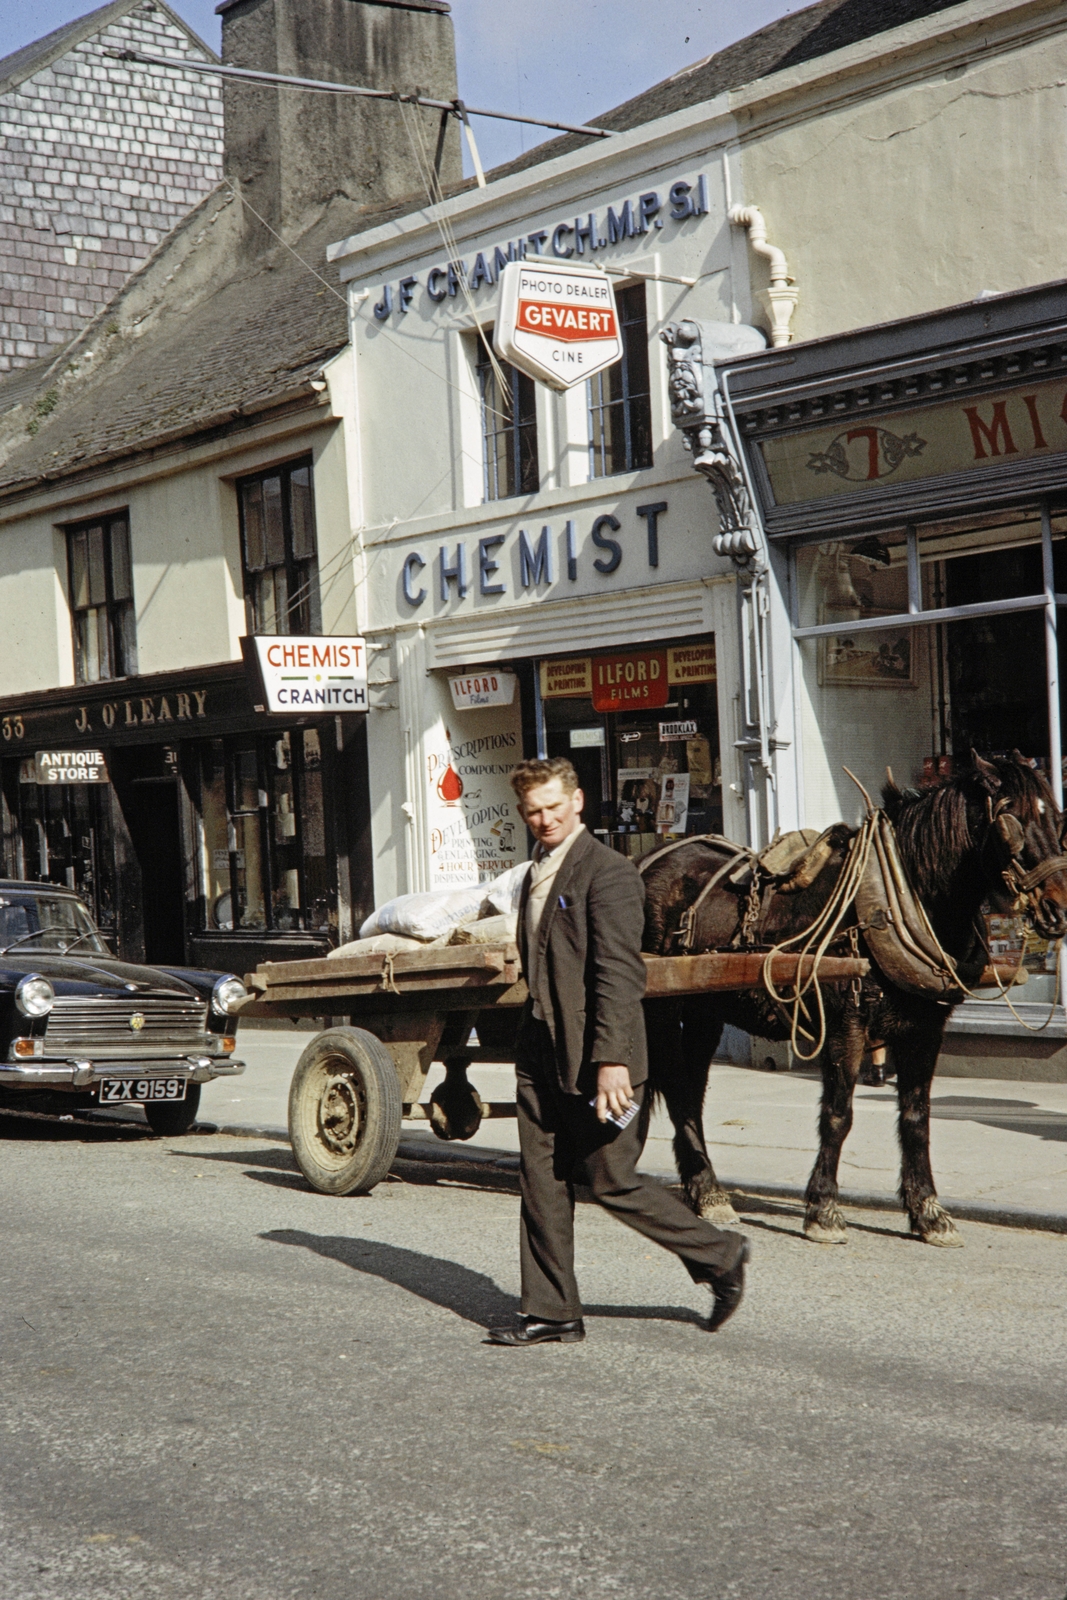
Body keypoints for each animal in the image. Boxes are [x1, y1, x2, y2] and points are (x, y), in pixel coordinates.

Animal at [639, 752, 1067, 1248]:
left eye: (1057, 819)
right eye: (1013, 820)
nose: (1059, 908)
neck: (898, 898)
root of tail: (648, 859)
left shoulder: (925, 1029)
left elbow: (916, 1117)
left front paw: (928, 1212)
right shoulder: (847, 1023)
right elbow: (838, 1115)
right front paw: (823, 1209)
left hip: (704, 1007)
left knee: (690, 1092)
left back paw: (706, 1191)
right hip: (663, 1006)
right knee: (675, 1085)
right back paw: (705, 1188)